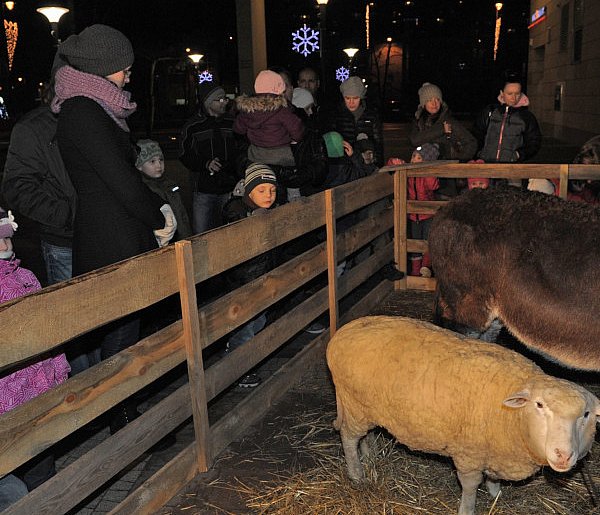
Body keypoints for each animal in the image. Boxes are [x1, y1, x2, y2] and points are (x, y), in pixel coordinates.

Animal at [328, 316, 600, 512]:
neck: (513, 417)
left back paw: (370, 456)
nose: (563, 455)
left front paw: (495, 494)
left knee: (365, 435)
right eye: (540, 405)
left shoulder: (495, 451)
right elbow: (470, 488)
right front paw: (467, 509)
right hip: (354, 406)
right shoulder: (469, 454)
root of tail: (341, 334)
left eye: (586, 415)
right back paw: (357, 475)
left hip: (363, 407)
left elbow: (492, 478)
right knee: (349, 438)